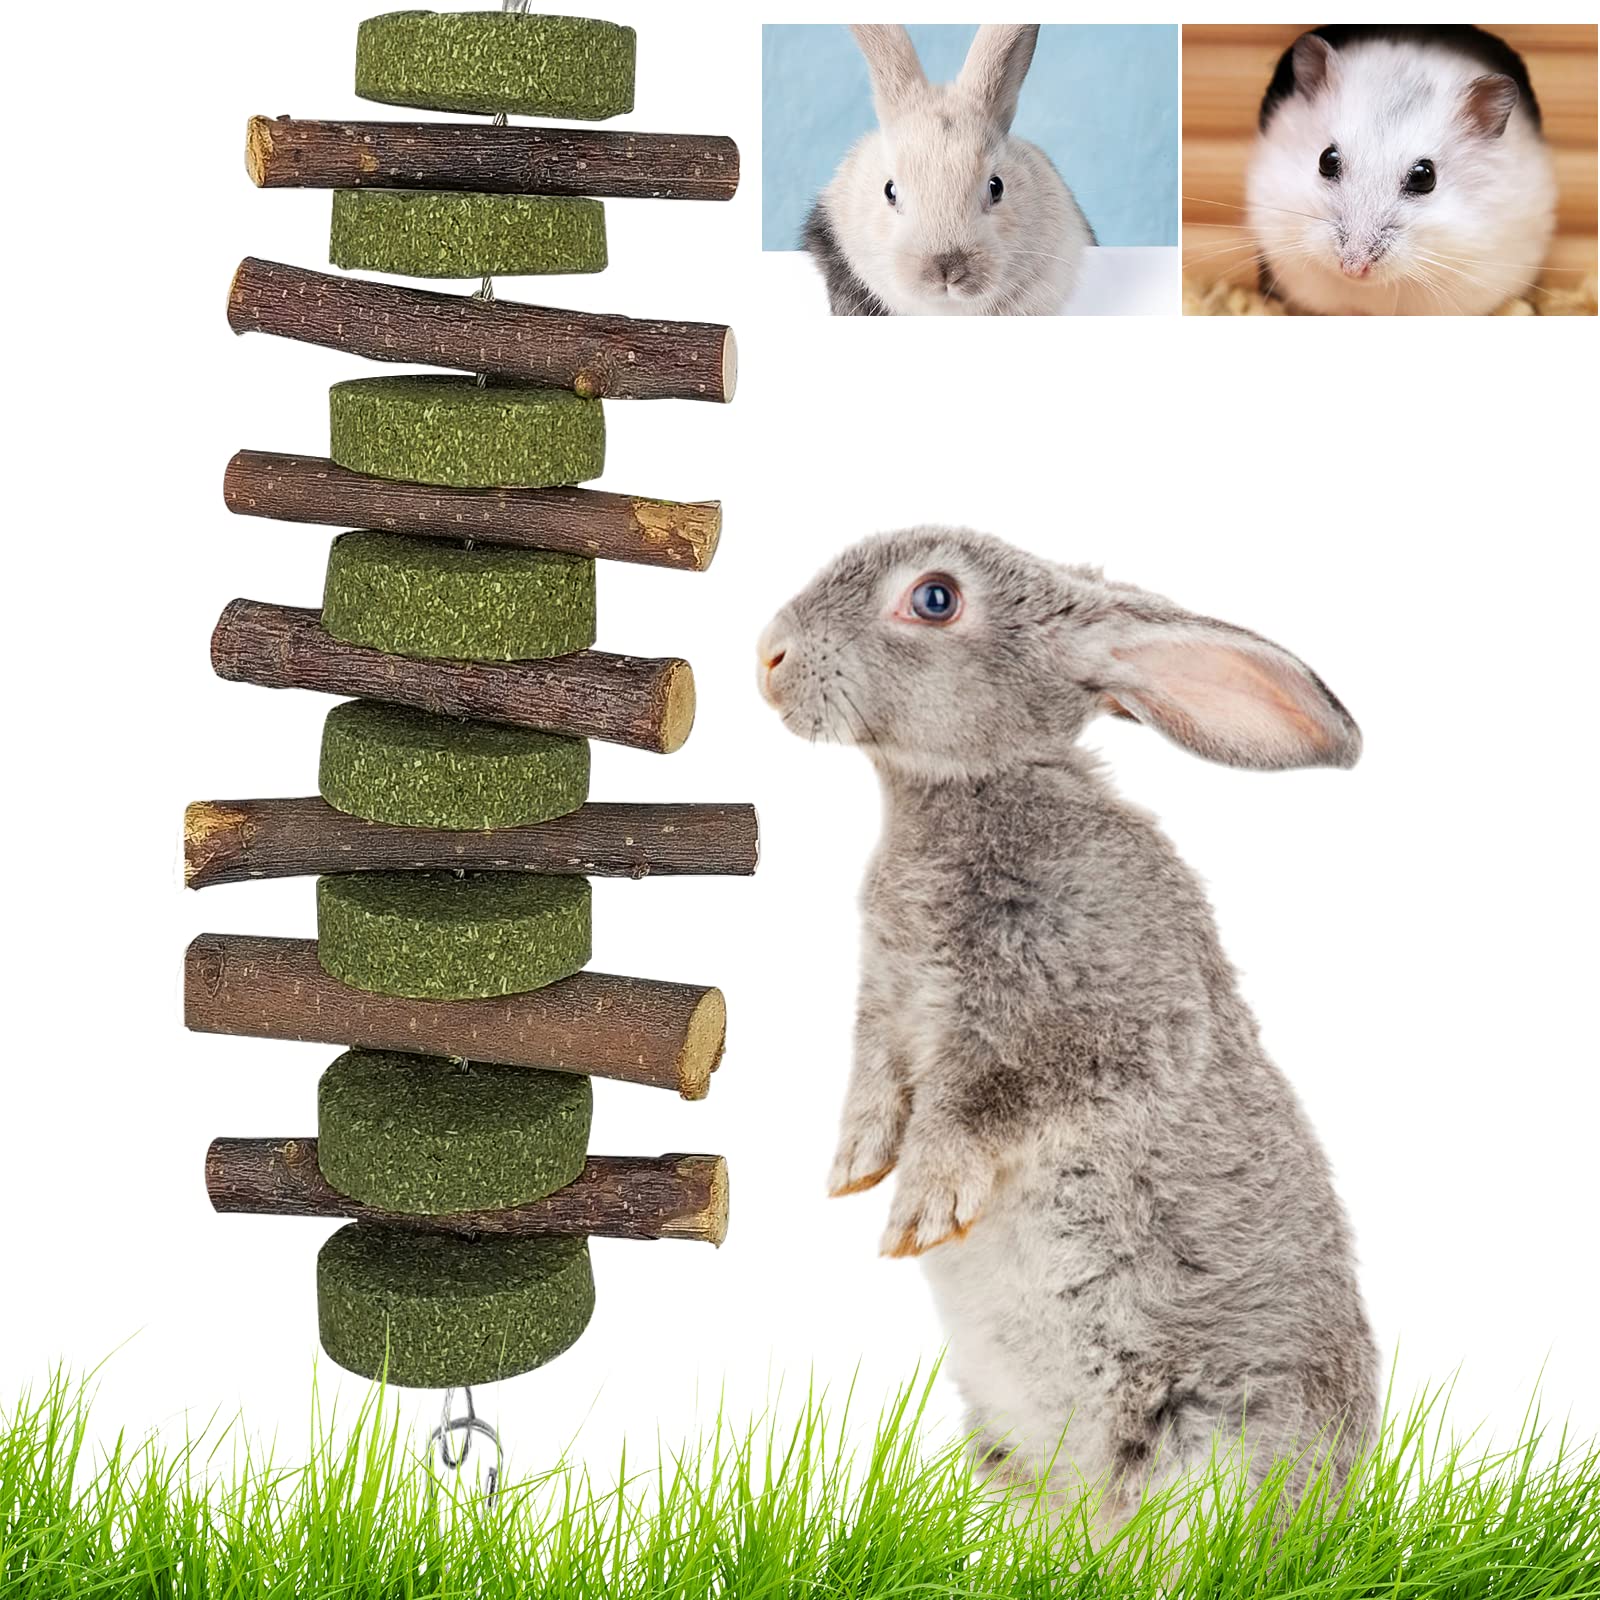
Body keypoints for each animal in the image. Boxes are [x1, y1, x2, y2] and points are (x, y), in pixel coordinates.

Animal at [758, 528, 1379, 1530]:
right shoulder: (887, 1009)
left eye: (935, 599)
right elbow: (876, 1083)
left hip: (1214, 1438)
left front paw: (920, 1210)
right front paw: (852, 1168)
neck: (971, 789)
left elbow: (981, 1106)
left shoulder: (1091, 1029)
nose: (768, 656)